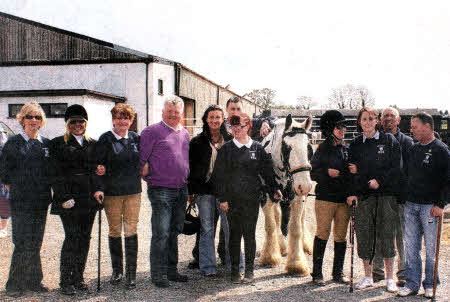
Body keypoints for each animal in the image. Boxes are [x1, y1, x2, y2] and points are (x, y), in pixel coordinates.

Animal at [258, 113, 314, 276]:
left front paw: (296, 264)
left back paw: (304, 246)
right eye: (287, 148)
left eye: (309, 147)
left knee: (300, 219)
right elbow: (270, 225)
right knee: (277, 218)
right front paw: (270, 257)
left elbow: (295, 228)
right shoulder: (265, 197)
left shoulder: (298, 197)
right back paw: (281, 247)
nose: (304, 185)